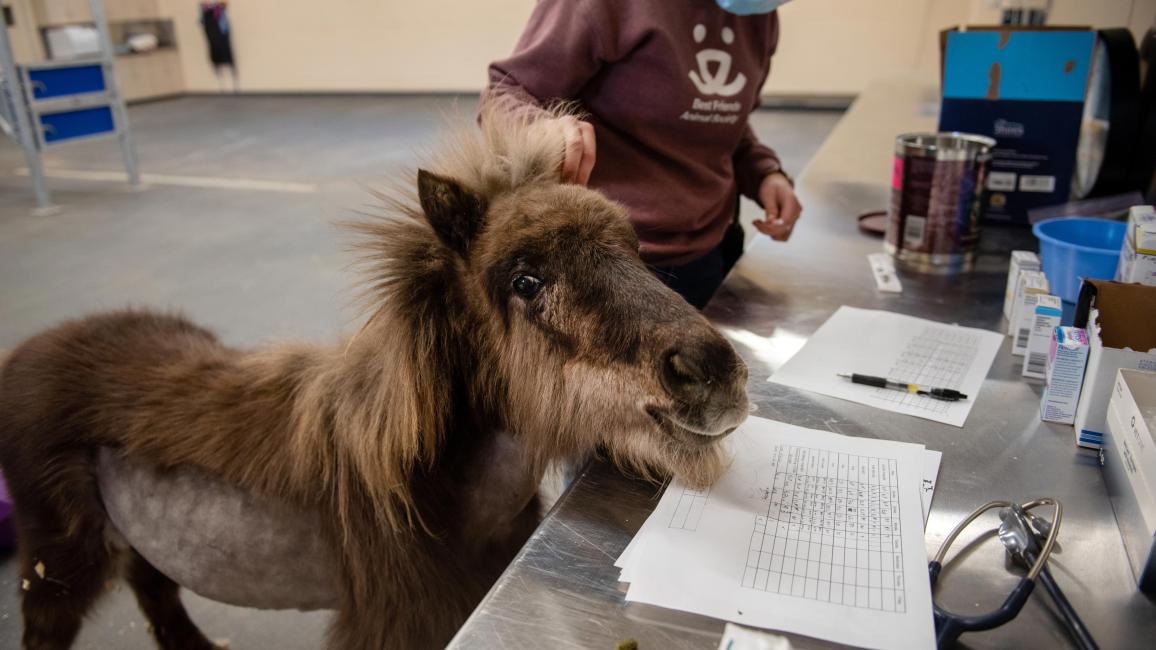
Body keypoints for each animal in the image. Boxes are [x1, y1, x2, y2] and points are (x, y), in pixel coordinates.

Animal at [0, 110, 749, 650]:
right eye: (525, 280)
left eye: (635, 247)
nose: (715, 373)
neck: (426, 492)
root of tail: (23, 356)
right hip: (58, 566)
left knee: (157, 594)